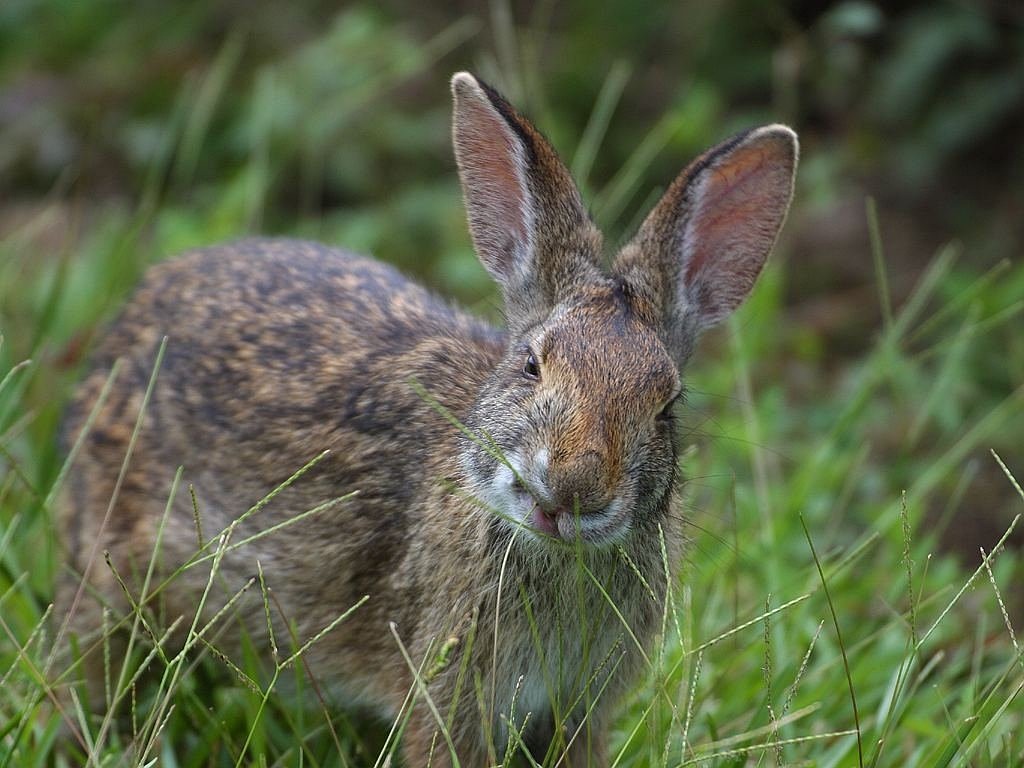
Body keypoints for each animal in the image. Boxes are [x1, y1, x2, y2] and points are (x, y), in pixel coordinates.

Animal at [56, 70, 798, 765]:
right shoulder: (447, 689)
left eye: (666, 405)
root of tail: (138, 309)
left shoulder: (580, 707)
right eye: (531, 365)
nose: (574, 489)